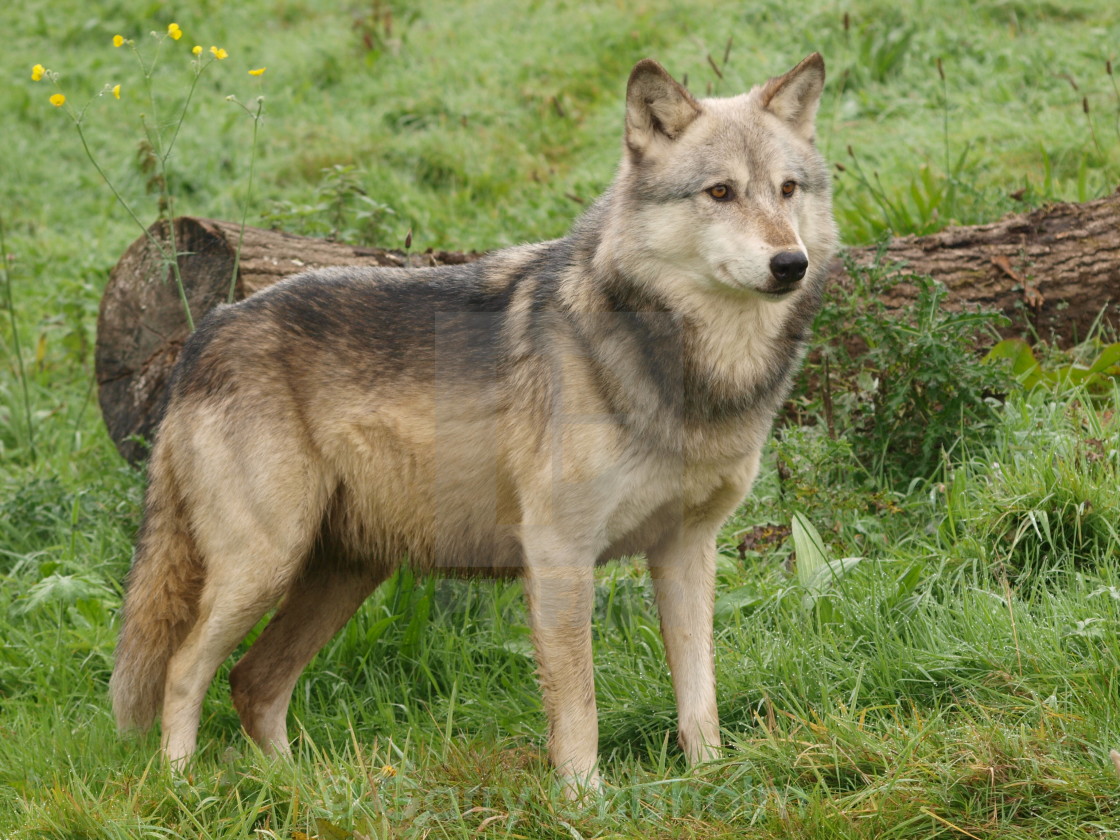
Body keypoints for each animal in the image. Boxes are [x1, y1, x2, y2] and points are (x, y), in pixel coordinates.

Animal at [109, 54, 837, 797]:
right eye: (720, 192)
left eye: (787, 189)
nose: (790, 264)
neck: (690, 368)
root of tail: (208, 330)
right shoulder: (558, 554)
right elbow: (578, 706)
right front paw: (587, 803)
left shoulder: (687, 550)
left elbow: (700, 696)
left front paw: (713, 783)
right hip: (264, 565)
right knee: (184, 670)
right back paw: (181, 789)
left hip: (339, 574)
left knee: (252, 681)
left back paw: (306, 791)